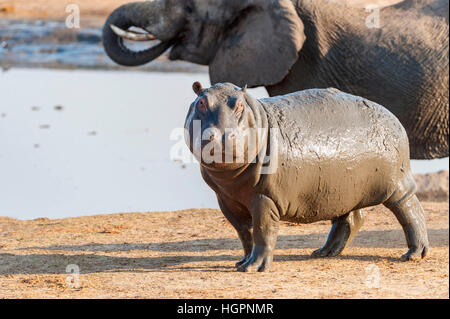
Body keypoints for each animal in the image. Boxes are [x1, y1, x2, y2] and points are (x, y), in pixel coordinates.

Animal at [184, 82, 428, 272]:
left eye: (240, 105)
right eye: (201, 102)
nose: (221, 135)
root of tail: (392, 116)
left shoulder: (264, 198)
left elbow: (263, 231)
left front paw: (255, 268)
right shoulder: (226, 200)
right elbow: (245, 233)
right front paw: (242, 262)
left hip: (396, 186)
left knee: (410, 210)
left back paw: (414, 254)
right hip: (343, 190)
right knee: (351, 219)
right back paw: (324, 252)